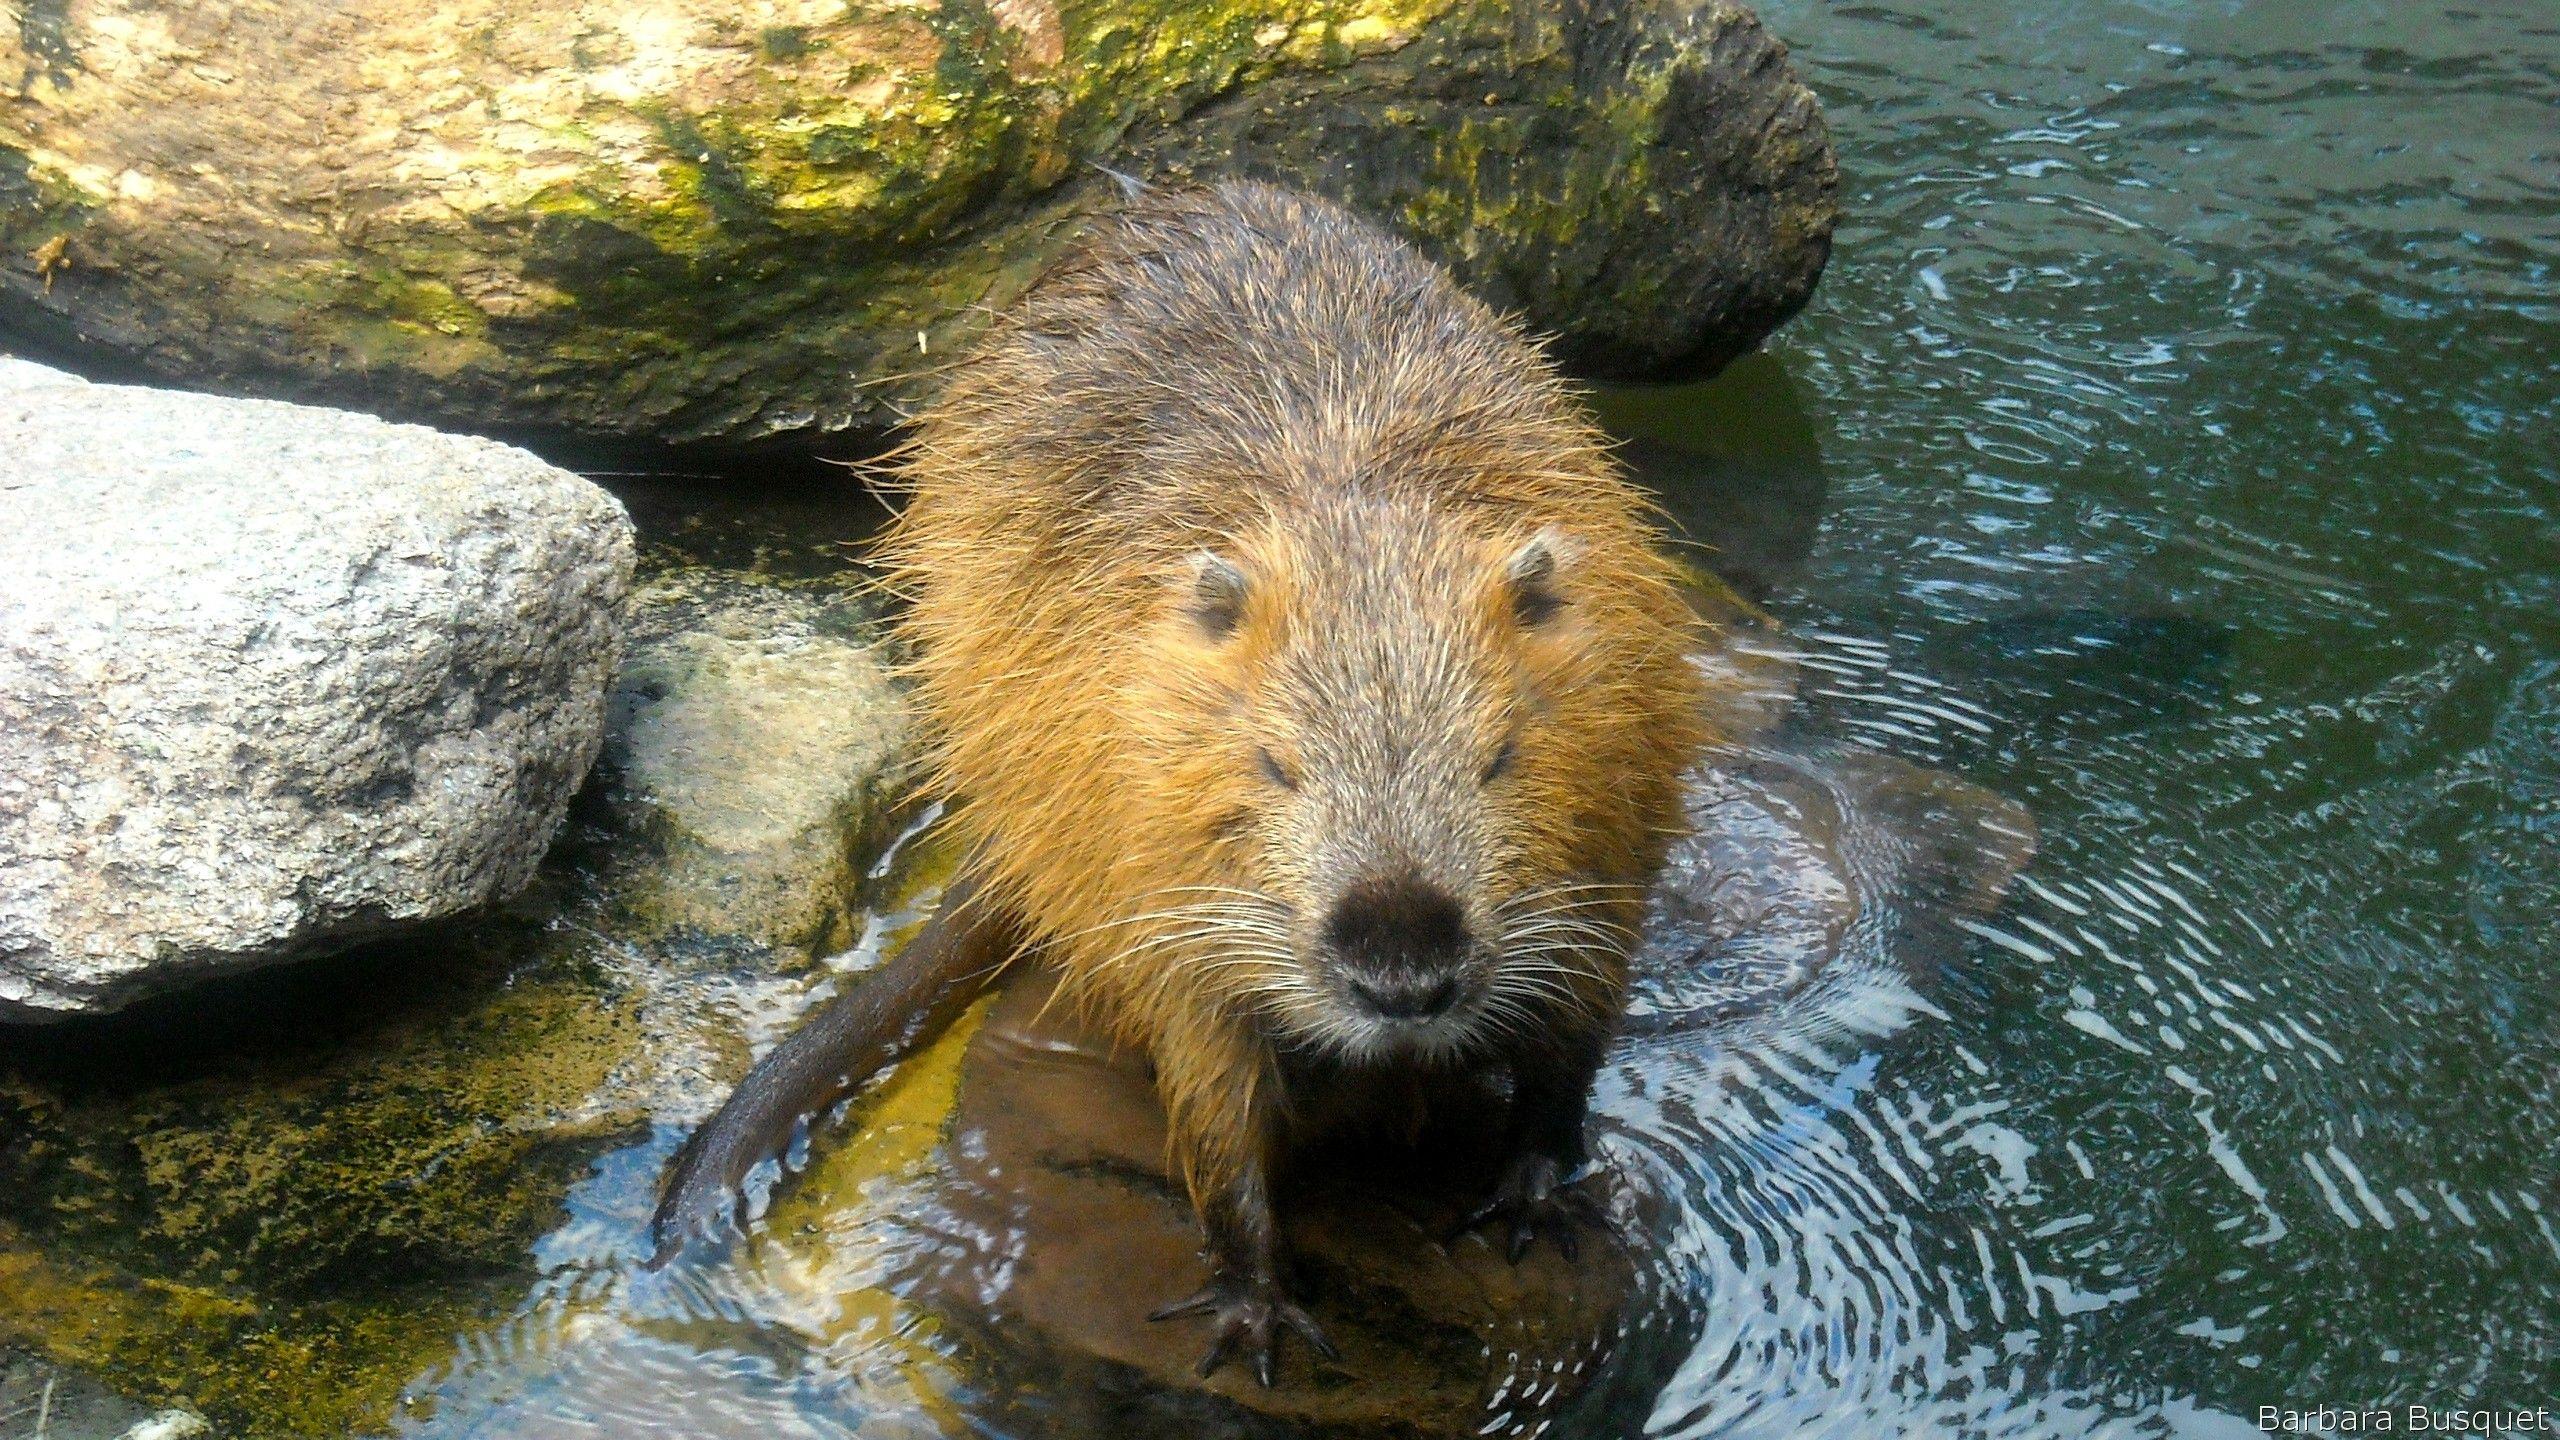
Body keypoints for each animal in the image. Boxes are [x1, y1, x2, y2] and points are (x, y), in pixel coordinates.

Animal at [650, 179, 1710, 1383]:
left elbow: (1575, 1041)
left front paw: (1533, 1193)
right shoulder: (1150, 872)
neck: (1352, 500)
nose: (1401, 973)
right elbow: (1211, 1102)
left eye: (1500, 757)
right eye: (1276, 764)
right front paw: (1252, 1309)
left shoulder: (1618, 824)